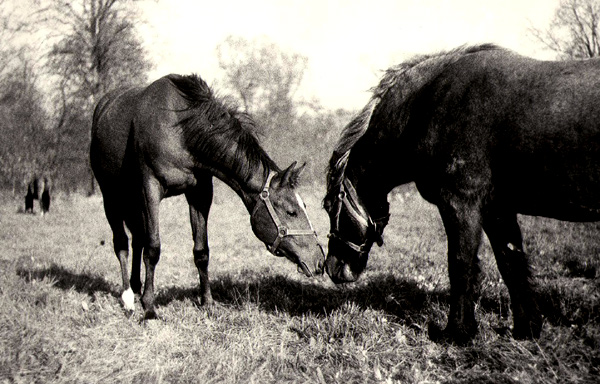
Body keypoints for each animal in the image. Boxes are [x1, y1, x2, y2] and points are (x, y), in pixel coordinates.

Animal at [90, 73, 324, 320]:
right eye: (291, 211)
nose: (319, 261)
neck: (181, 130)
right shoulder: (150, 189)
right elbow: (153, 248)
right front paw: (150, 308)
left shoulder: (200, 193)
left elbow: (201, 251)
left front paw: (207, 302)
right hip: (112, 196)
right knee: (122, 243)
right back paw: (127, 297)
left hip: (134, 200)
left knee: (137, 239)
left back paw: (136, 287)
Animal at [324, 43, 600, 344]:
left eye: (329, 206)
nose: (332, 267)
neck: (425, 104)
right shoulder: (496, 210)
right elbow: (511, 263)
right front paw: (526, 329)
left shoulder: (460, 204)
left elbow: (460, 264)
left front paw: (457, 332)